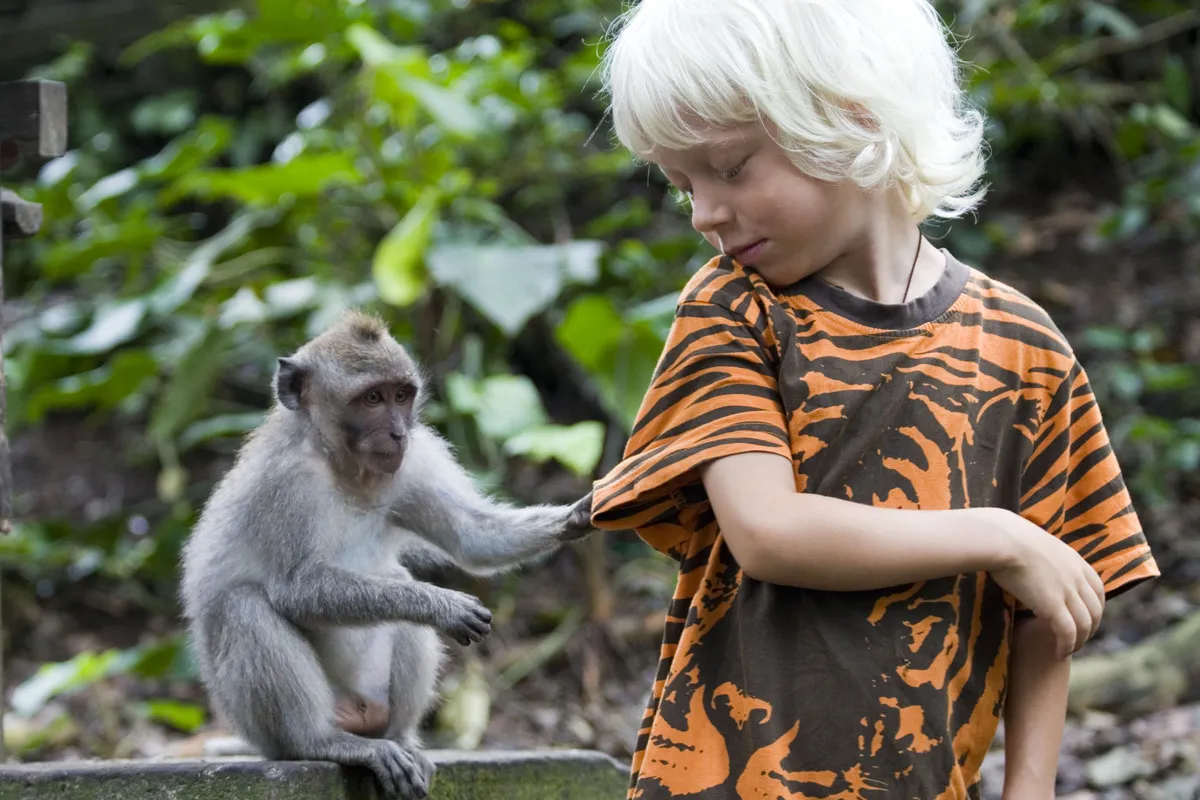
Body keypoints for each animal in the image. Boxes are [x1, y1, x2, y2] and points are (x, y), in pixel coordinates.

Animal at [179, 309, 593, 800]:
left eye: (401, 395)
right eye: (372, 398)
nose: (397, 433)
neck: (342, 465)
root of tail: (358, 715)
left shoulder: (415, 460)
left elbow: (471, 537)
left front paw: (579, 515)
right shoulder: (284, 484)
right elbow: (296, 589)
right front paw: (441, 605)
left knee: (396, 585)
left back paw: (400, 738)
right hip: (258, 722)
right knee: (244, 606)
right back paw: (320, 742)